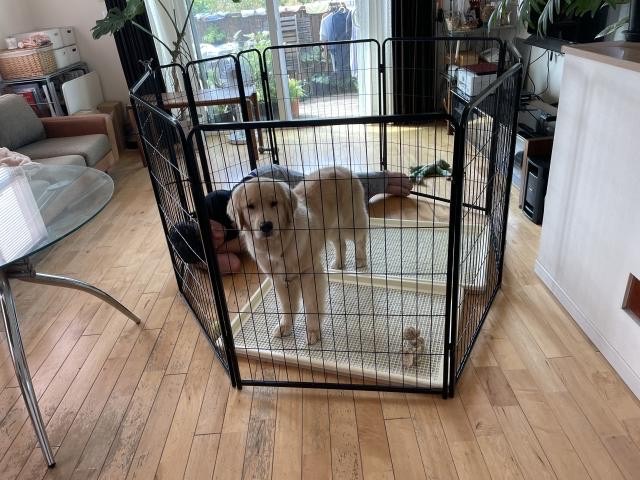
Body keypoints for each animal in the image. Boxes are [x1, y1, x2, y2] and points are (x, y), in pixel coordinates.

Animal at [227, 166, 368, 345]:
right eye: (250, 206)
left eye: (274, 203)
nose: (266, 226)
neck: (278, 247)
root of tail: (343, 168)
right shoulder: (280, 279)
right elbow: (288, 306)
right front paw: (286, 326)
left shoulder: (309, 274)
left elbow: (312, 306)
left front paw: (313, 331)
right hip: (329, 228)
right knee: (340, 243)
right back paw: (339, 263)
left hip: (350, 221)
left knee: (361, 237)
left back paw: (361, 259)